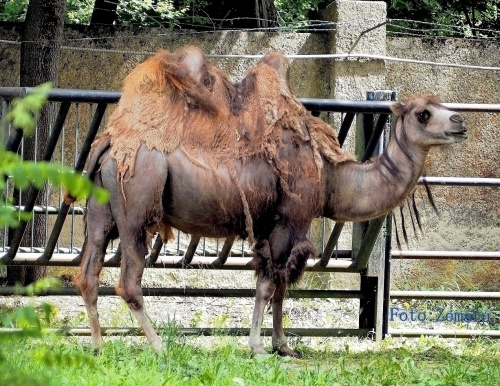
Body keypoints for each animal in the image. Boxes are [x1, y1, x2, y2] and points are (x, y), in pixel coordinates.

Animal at [72, 46, 466, 358]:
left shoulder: (268, 226)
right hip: (136, 207)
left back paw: (98, 346)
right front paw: (259, 346)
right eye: (423, 114)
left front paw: (284, 345)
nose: (460, 121)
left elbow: (280, 284)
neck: (330, 177)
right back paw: (158, 346)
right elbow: (268, 284)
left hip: (99, 211)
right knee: (128, 281)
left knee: (88, 273)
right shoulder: (289, 221)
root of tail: (109, 143)